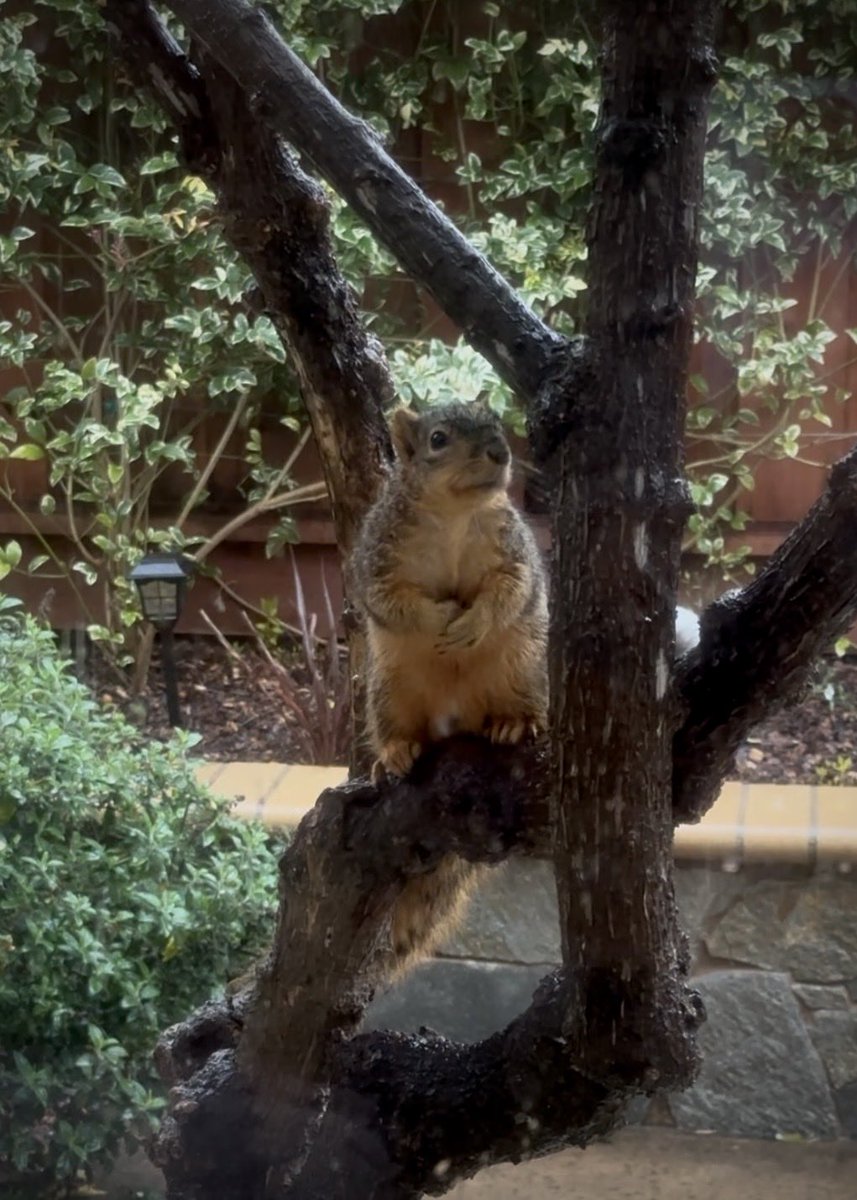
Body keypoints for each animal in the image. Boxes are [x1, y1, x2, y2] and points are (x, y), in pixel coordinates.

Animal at [354, 402, 549, 971]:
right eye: (438, 439)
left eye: (498, 423)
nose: (499, 452)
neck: (456, 513)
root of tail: (457, 720)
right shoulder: (378, 559)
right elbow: (394, 601)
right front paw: (440, 616)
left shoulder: (513, 550)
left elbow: (509, 589)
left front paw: (470, 621)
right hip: (390, 689)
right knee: (400, 730)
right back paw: (394, 753)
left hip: (523, 666)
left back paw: (512, 725)